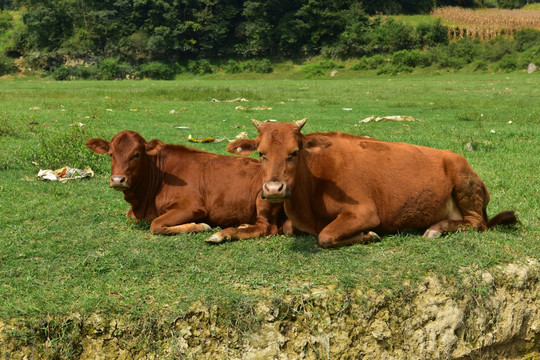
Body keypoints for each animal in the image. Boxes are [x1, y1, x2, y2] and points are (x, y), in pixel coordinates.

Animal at [84, 129, 284, 242]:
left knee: (266, 227)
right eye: (111, 154)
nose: (118, 180)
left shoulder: (193, 206)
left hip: (265, 196)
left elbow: (156, 225)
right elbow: (131, 217)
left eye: (137, 154)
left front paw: (199, 226)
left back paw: (222, 234)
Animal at [226, 118, 516, 248]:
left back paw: (436, 228)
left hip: (464, 182)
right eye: (261, 153)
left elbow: (326, 236)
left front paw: (367, 235)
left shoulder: (364, 211)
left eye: (294, 152)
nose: (274, 189)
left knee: (476, 224)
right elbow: (289, 229)